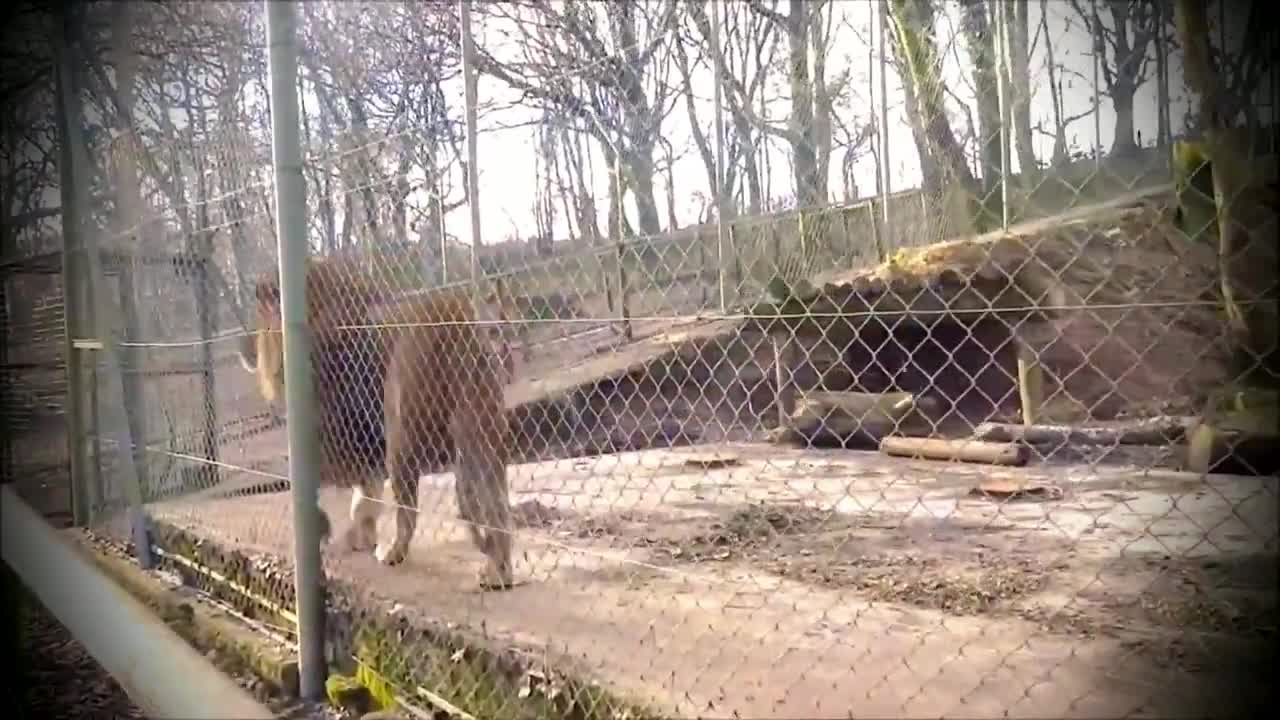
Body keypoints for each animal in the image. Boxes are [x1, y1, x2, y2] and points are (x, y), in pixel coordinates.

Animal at [238, 258, 517, 589]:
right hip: (481, 429)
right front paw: (360, 535)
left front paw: (326, 531)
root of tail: (456, 314)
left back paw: (393, 553)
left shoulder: (326, 433)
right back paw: (499, 571)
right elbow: (366, 494)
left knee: (408, 511)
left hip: (401, 431)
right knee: (496, 502)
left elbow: (323, 489)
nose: (245, 349)